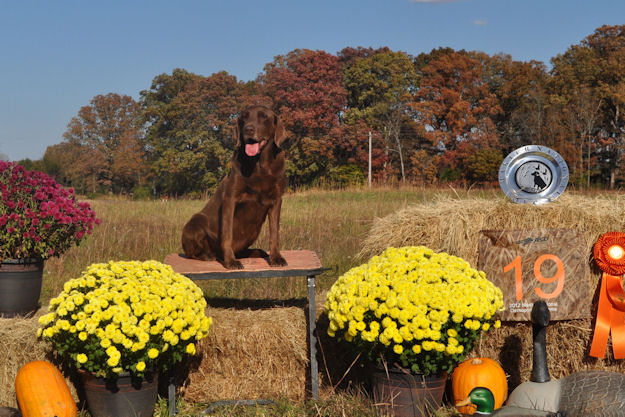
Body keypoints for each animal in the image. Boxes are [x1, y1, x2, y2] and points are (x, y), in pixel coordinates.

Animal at [180, 105, 288, 268]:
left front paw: (276, 258)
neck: (259, 165)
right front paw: (230, 261)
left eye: (264, 117)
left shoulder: (276, 200)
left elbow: (274, 233)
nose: (248, 129)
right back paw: (208, 255)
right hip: (195, 222)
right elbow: (227, 234)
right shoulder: (230, 199)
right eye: (244, 117)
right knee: (192, 253)